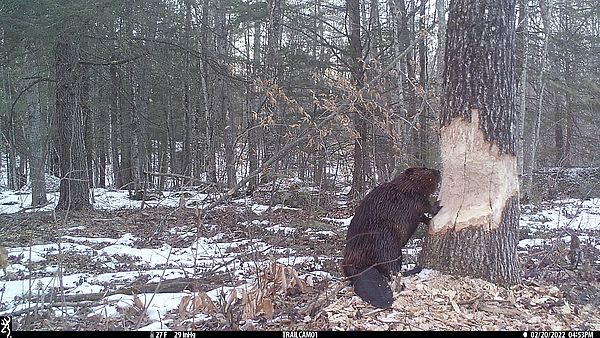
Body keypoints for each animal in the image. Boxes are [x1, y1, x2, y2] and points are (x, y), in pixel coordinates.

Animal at [342, 167, 440, 308]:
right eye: (425, 169)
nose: (438, 171)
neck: (405, 187)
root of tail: (358, 267)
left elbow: (421, 216)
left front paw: (428, 221)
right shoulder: (413, 198)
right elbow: (425, 206)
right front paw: (438, 205)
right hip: (386, 243)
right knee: (392, 271)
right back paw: (415, 269)